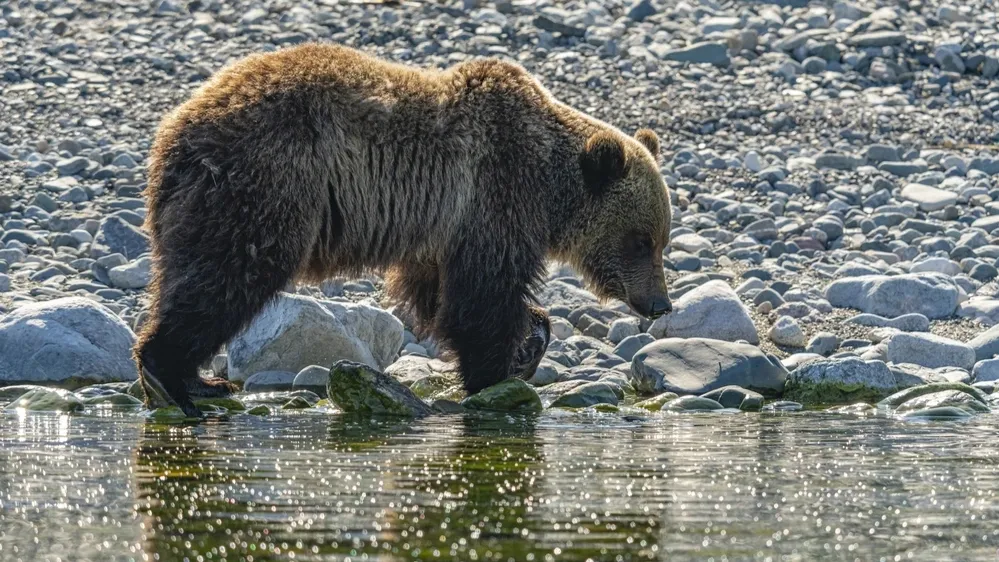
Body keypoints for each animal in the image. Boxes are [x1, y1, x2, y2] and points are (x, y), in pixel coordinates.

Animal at [135, 42, 672, 416]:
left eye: (661, 241)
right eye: (640, 241)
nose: (660, 303)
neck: (548, 183)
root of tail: (173, 134)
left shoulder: (438, 230)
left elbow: (439, 295)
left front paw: (531, 336)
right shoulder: (493, 195)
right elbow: (482, 299)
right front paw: (498, 371)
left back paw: (198, 380)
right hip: (266, 182)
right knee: (226, 275)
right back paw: (172, 378)